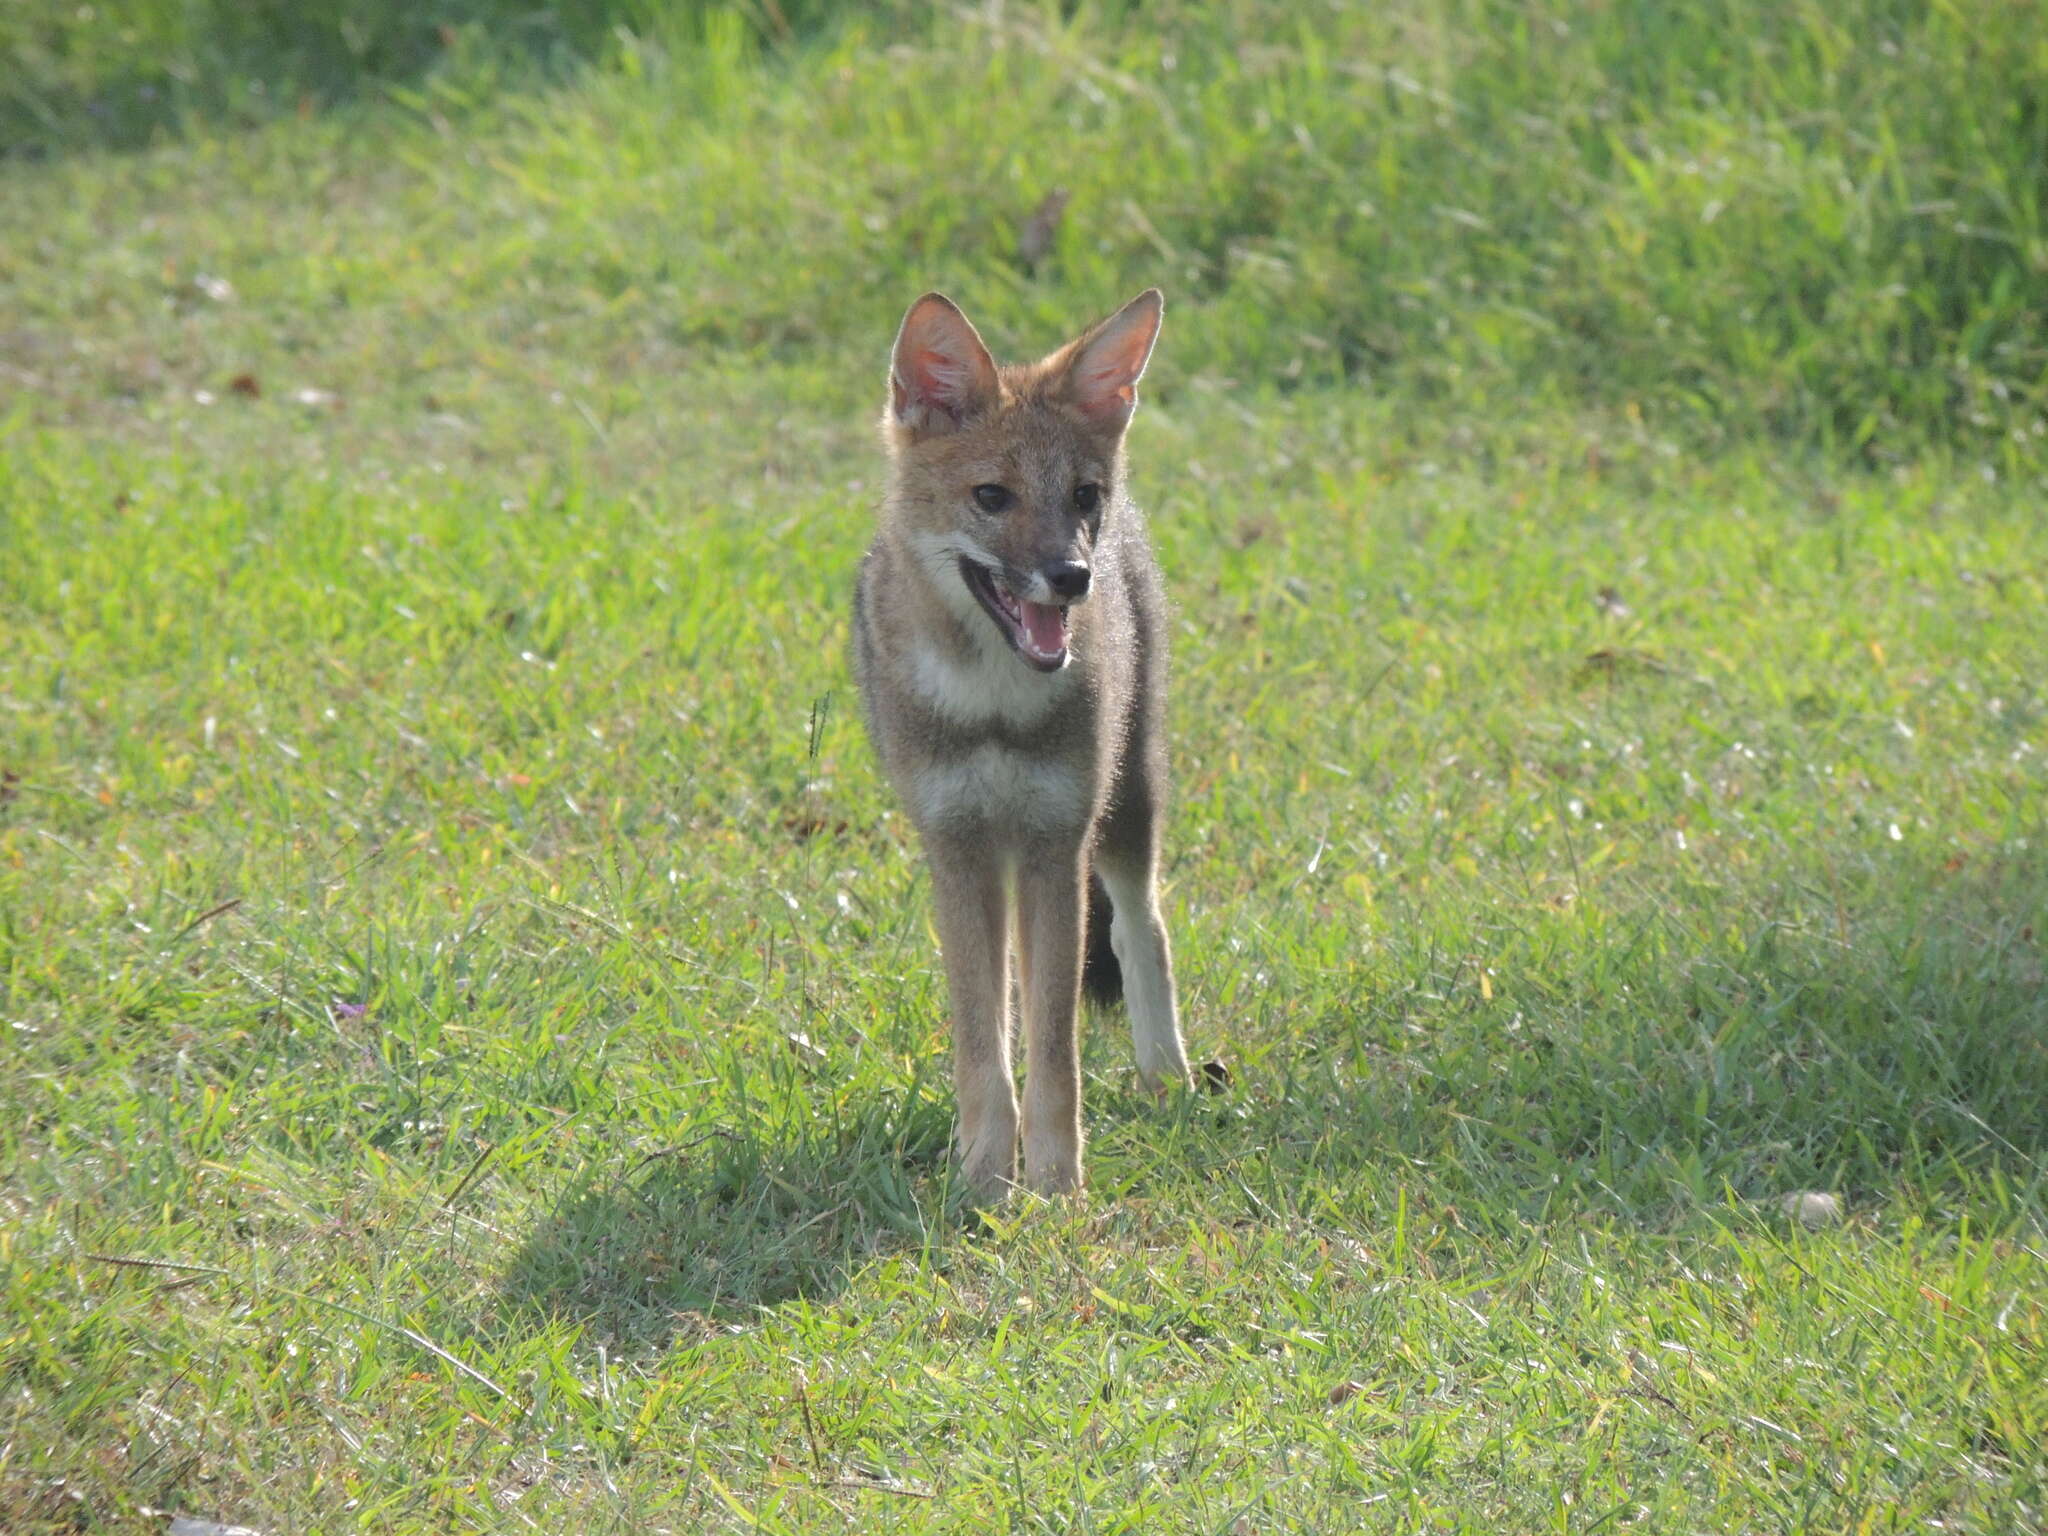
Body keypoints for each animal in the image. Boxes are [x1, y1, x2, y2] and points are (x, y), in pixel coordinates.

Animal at [851, 288, 1196, 1204]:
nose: (1072, 577)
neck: (995, 710)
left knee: (1141, 930)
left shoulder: (1056, 844)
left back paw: (1170, 1081)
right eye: (992, 497)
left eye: (1081, 495)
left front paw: (1055, 1186)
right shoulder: (959, 849)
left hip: (1126, 808)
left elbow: (1054, 1044)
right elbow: (984, 1038)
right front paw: (982, 1179)